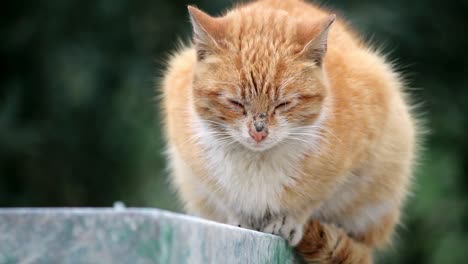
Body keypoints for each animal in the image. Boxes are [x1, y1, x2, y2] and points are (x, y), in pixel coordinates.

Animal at [160, 0, 416, 262]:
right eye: (236, 103)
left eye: (283, 104)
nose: (259, 132)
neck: (258, 162)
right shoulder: (195, 166)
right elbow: (224, 198)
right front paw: (240, 218)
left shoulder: (347, 165)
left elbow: (311, 199)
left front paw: (287, 220)